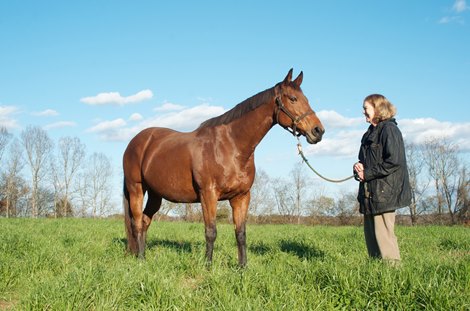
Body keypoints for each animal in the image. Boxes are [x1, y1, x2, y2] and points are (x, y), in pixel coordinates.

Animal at [123, 67, 324, 266]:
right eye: (293, 98)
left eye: (306, 99)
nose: (318, 131)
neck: (230, 146)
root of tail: (136, 141)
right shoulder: (208, 195)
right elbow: (211, 231)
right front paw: (208, 266)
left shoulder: (241, 197)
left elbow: (240, 233)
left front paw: (243, 267)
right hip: (137, 189)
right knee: (137, 222)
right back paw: (140, 259)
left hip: (156, 194)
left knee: (146, 221)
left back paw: (143, 255)